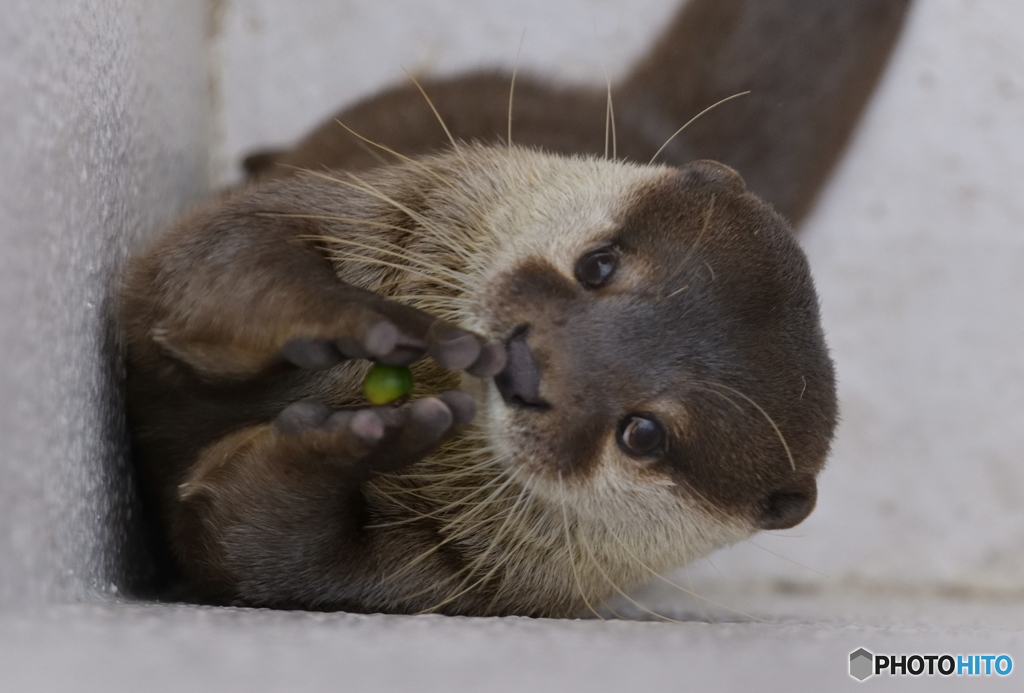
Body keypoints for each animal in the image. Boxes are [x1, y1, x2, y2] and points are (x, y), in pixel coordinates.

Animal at [119, 0, 913, 618]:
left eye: (644, 433)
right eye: (597, 265)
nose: (527, 361)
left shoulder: (448, 583)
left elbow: (260, 553)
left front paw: (369, 439)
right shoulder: (376, 205)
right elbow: (207, 258)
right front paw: (376, 323)